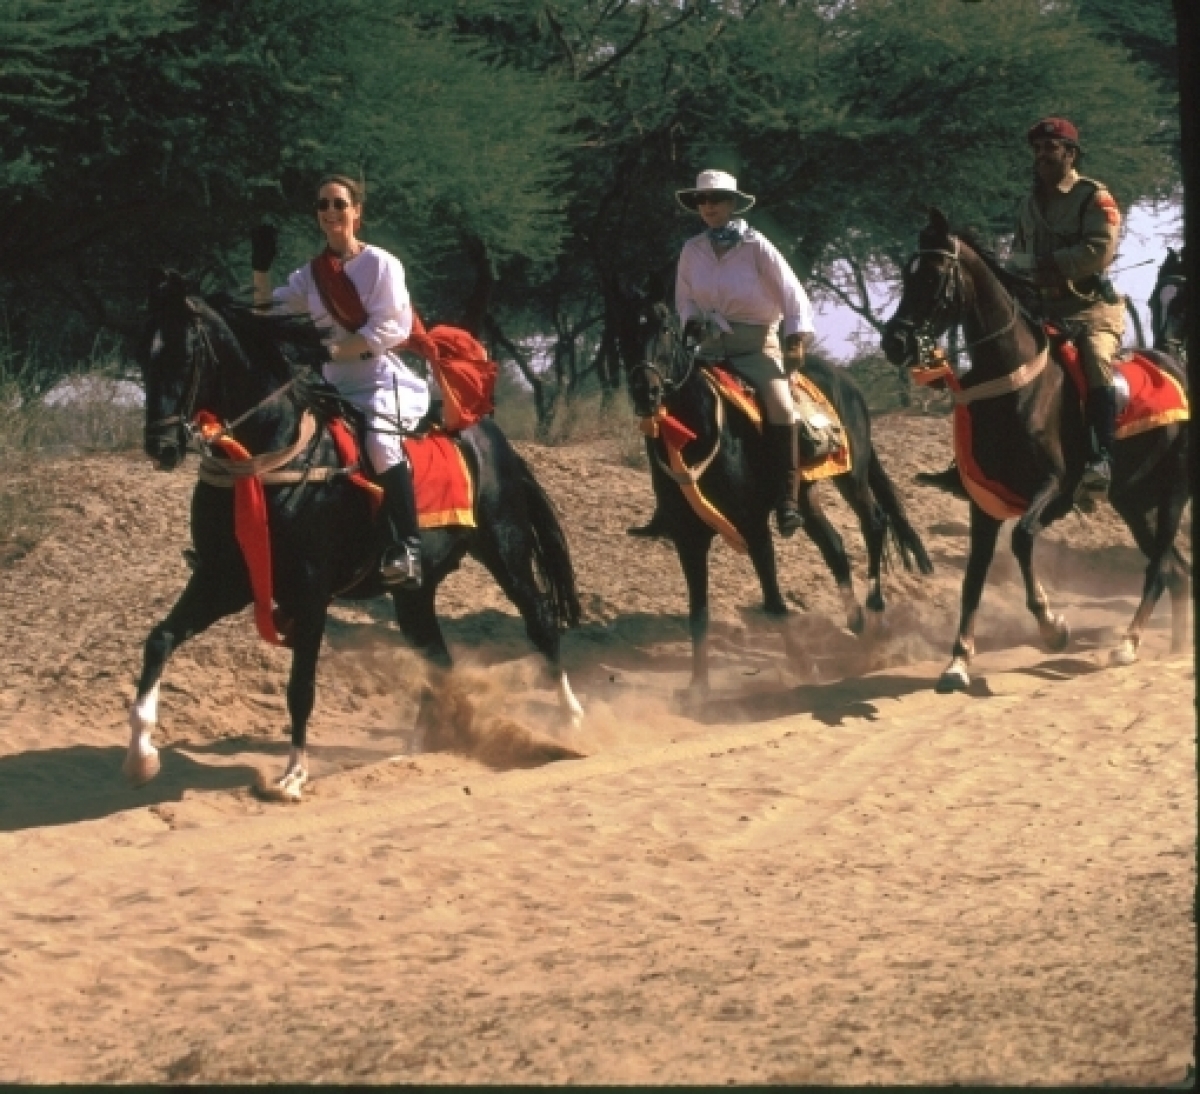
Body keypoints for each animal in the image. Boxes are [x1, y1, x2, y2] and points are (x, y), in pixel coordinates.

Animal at [126, 270, 583, 801]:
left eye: (185, 354)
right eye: (143, 355)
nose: (161, 446)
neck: (264, 462)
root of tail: (490, 437)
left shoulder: (310, 592)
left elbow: (300, 686)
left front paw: (293, 774)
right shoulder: (224, 580)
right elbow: (159, 639)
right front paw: (141, 757)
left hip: (506, 549)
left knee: (541, 621)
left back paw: (571, 722)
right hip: (414, 591)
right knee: (437, 656)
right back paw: (419, 746)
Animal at [626, 303, 933, 700]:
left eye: (664, 328)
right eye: (625, 332)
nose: (644, 391)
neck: (695, 433)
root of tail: (845, 379)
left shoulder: (754, 527)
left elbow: (773, 603)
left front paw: (803, 666)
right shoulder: (688, 540)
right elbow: (698, 612)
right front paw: (697, 687)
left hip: (852, 475)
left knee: (874, 523)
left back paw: (876, 614)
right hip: (804, 494)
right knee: (834, 545)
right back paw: (856, 620)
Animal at [881, 208, 1190, 692]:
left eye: (932, 276)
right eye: (905, 275)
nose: (894, 341)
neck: (1014, 386)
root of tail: (1176, 365)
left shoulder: (1055, 489)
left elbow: (1023, 538)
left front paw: (1052, 626)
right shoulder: (983, 503)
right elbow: (974, 576)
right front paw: (958, 662)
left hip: (1172, 492)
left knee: (1160, 567)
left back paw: (1129, 642)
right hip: (1132, 501)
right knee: (1176, 569)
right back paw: (1172, 644)